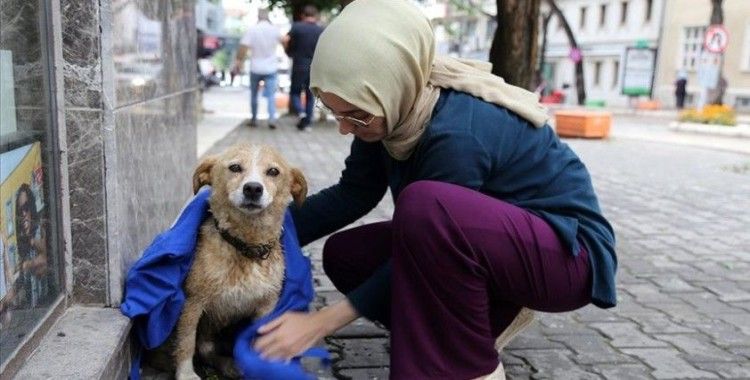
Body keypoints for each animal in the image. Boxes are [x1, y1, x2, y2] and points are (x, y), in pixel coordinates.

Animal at [169, 143, 306, 380]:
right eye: (234, 167)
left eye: (273, 171)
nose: (252, 188)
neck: (246, 248)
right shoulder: (192, 302)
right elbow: (186, 341)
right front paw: (186, 374)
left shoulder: (266, 307)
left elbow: (259, 341)